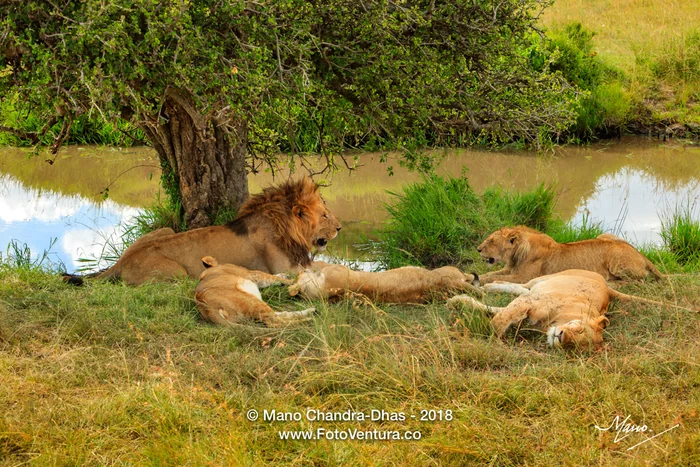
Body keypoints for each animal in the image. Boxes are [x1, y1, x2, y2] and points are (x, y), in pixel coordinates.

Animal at [78, 177, 341, 285]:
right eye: (325, 215)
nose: (339, 228)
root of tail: (121, 263)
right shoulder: (284, 268)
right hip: (177, 273)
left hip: (165, 228)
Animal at [448, 269, 692, 348]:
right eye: (580, 330)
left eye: (575, 348)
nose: (562, 338)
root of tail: (608, 286)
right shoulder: (532, 302)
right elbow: (499, 319)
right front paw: (489, 334)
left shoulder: (527, 308)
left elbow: (497, 311)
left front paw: (461, 302)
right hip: (547, 277)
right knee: (521, 286)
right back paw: (488, 285)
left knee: (520, 289)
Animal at [476, 226, 662, 284]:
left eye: (491, 241)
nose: (478, 249)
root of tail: (642, 255)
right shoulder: (510, 270)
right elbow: (491, 274)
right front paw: (473, 277)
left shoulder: (523, 278)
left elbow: (494, 277)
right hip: (605, 235)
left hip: (617, 258)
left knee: (638, 281)